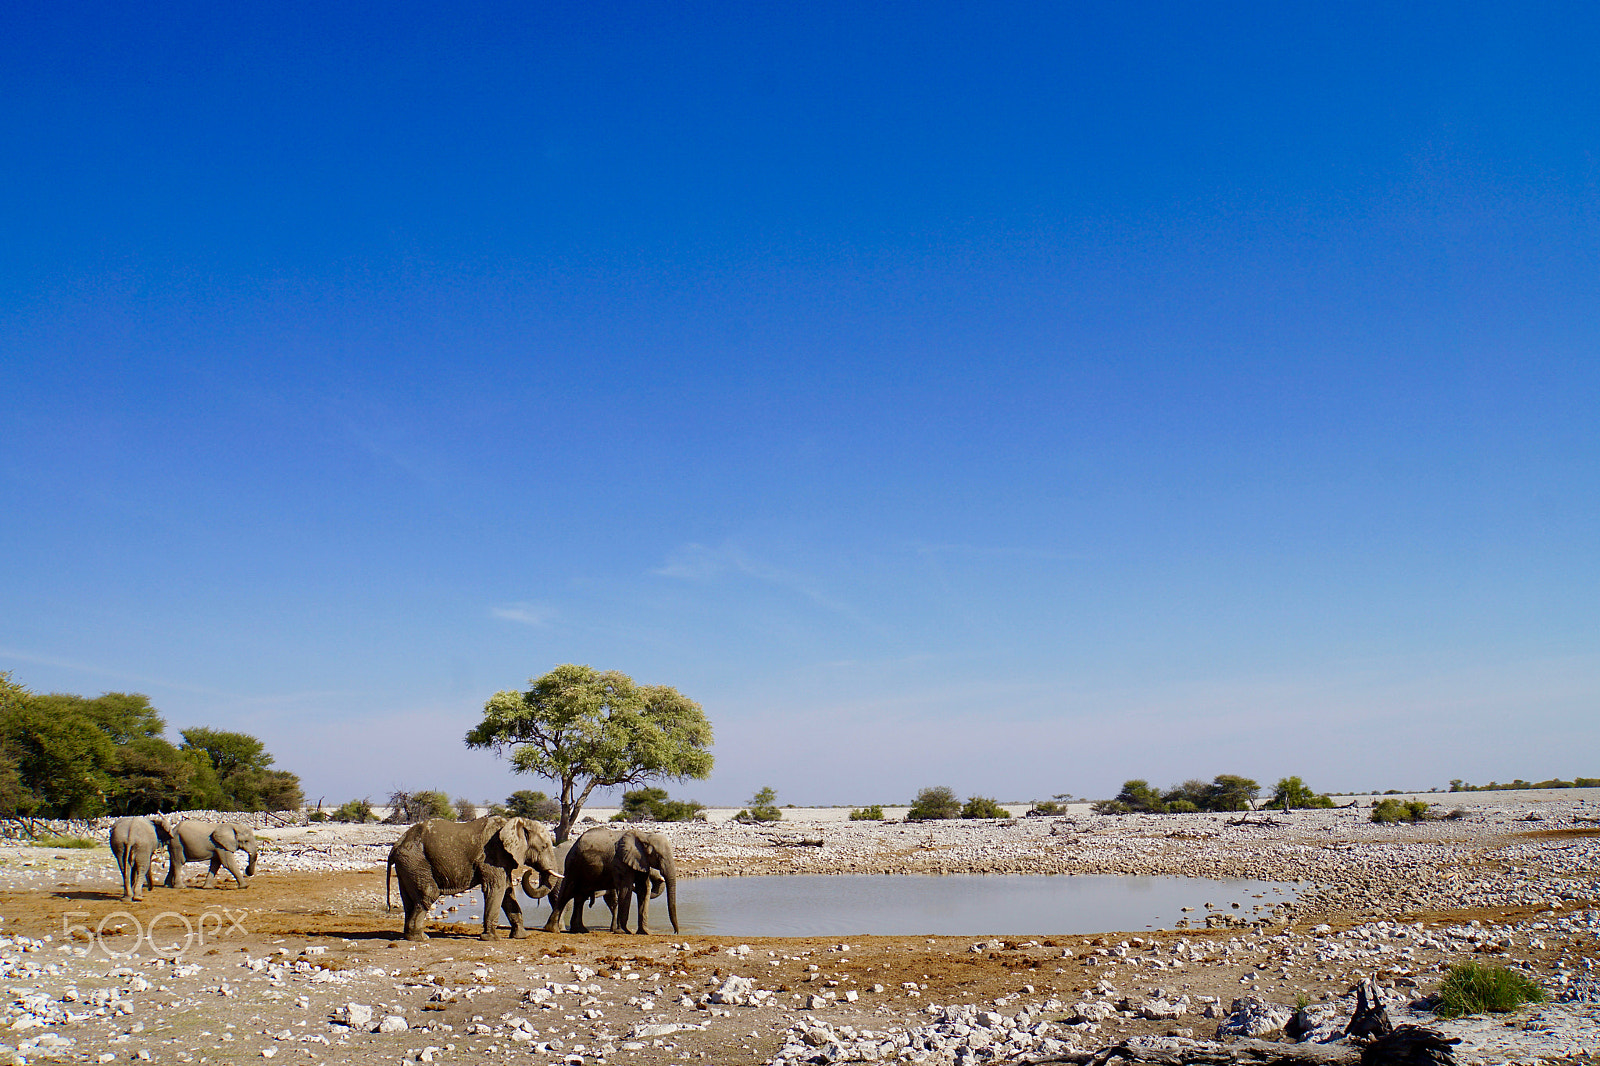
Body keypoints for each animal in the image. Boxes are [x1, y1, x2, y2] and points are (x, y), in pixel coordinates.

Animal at [387, 813, 563, 941]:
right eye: (544, 847)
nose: (530, 872)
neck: (512, 823)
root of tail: (396, 846)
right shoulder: (493, 855)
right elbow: (496, 889)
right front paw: (491, 939)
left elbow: (507, 891)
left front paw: (521, 936)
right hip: (415, 861)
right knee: (429, 893)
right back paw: (420, 938)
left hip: (407, 865)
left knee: (409, 900)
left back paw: (410, 936)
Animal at [547, 819, 678, 928]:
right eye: (658, 856)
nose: (676, 932)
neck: (644, 835)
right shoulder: (620, 861)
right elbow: (626, 888)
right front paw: (625, 931)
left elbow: (643, 888)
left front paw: (644, 932)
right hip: (573, 864)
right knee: (568, 891)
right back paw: (554, 929)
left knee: (581, 896)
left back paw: (580, 930)